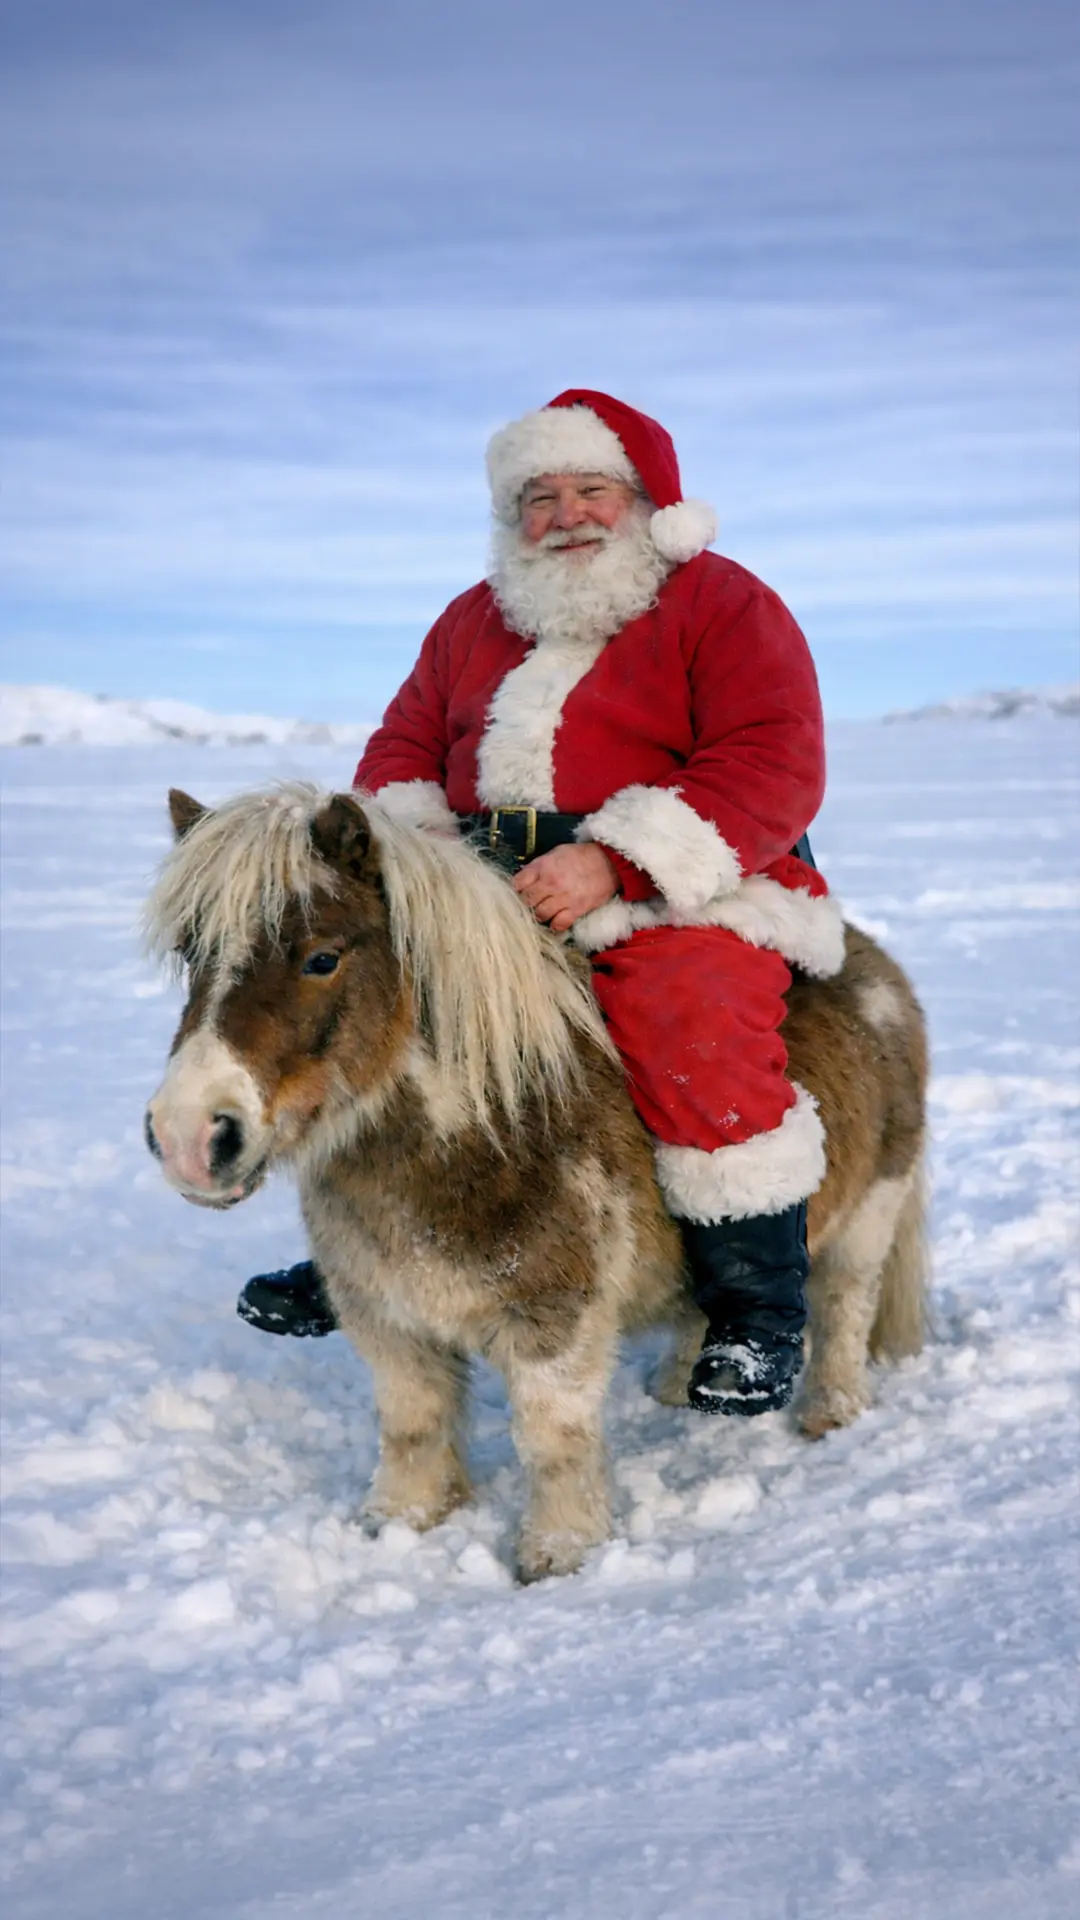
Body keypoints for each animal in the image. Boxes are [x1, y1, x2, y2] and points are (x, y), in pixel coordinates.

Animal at [144, 782, 928, 1581]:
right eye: (190, 954)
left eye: (322, 957)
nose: (189, 1137)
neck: (494, 1130)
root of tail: (876, 968)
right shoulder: (386, 1320)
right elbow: (413, 1423)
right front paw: (400, 1521)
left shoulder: (558, 1326)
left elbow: (553, 1440)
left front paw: (558, 1554)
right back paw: (679, 1387)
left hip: (869, 1214)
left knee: (840, 1308)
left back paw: (821, 1410)